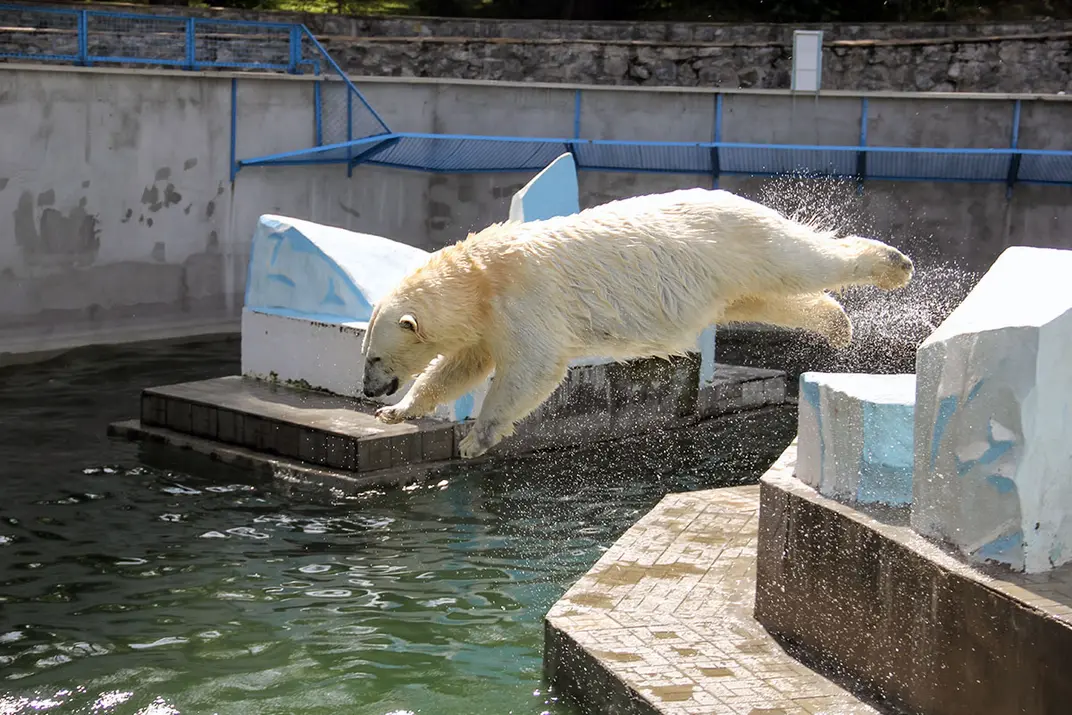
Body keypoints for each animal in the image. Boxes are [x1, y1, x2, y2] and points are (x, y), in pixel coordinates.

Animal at [361, 187, 913, 459]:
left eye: (374, 356)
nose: (369, 390)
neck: (478, 276)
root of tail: (739, 199)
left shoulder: (524, 300)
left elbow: (531, 368)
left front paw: (475, 439)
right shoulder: (487, 317)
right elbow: (461, 365)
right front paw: (398, 412)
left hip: (740, 240)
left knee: (803, 261)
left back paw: (893, 264)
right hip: (726, 276)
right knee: (769, 298)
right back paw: (837, 323)